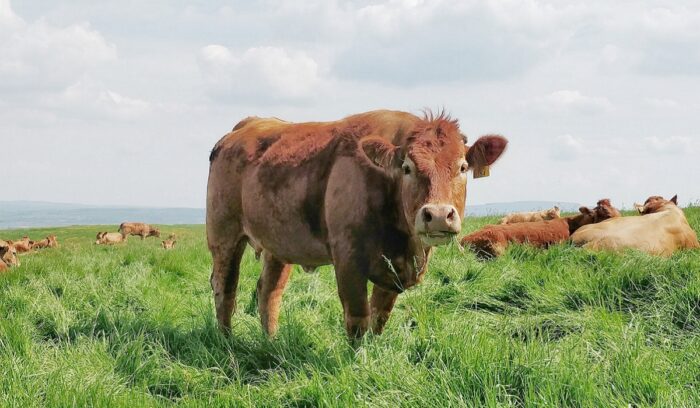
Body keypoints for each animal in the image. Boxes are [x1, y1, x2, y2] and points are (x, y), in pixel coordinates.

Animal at [207, 109, 507, 339]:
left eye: (462, 167)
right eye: (407, 168)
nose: (438, 214)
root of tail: (246, 126)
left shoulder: (394, 273)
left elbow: (379, 318)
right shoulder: (349, 260)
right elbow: (358, 320)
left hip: (278, 245)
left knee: (269, 292)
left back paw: (271, 342)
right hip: (224, 236)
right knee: (225, 289)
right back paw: (227, 342)